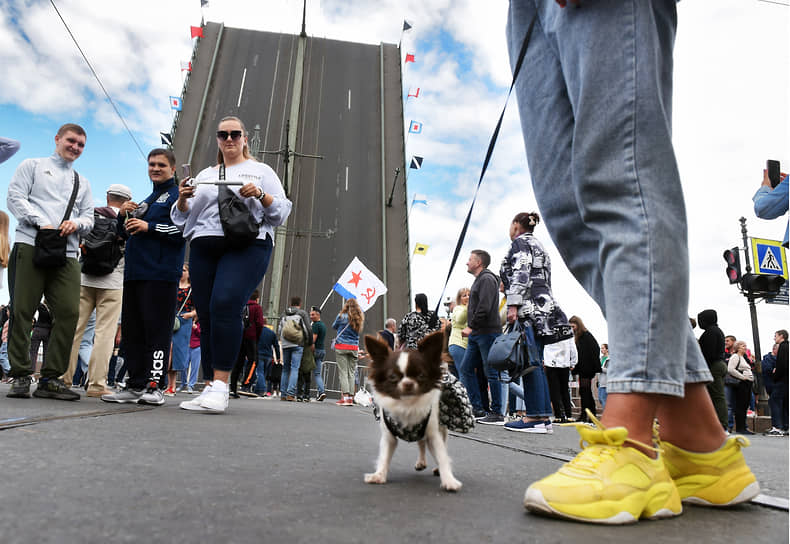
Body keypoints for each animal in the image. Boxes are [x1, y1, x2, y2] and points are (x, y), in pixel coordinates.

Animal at [362, 330, 460, 490]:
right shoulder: (389, 437)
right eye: (392, 377)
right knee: (421, 443)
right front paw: (379, 475)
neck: (407, 405)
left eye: (421, 375)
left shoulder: (433, 434)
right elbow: (384, 456)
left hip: (441, 429)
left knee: (437, 444)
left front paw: (449, 480)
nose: (408, 383)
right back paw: (421, 462)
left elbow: (442, 456)